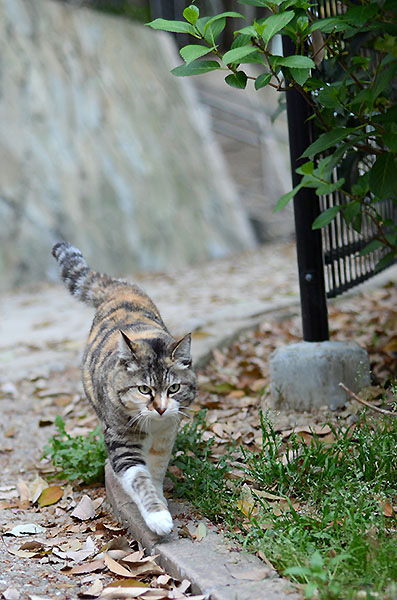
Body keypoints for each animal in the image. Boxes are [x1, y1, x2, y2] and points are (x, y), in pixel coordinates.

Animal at [51, 241, 196, 536]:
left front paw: (160, 498)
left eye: (174, 388)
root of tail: (119, 290)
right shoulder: (120, 439)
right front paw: (157, 516)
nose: (161, 408)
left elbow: (156, 469)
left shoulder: (166, 435)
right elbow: (139, 478)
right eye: (143, 389)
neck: (153, 425)